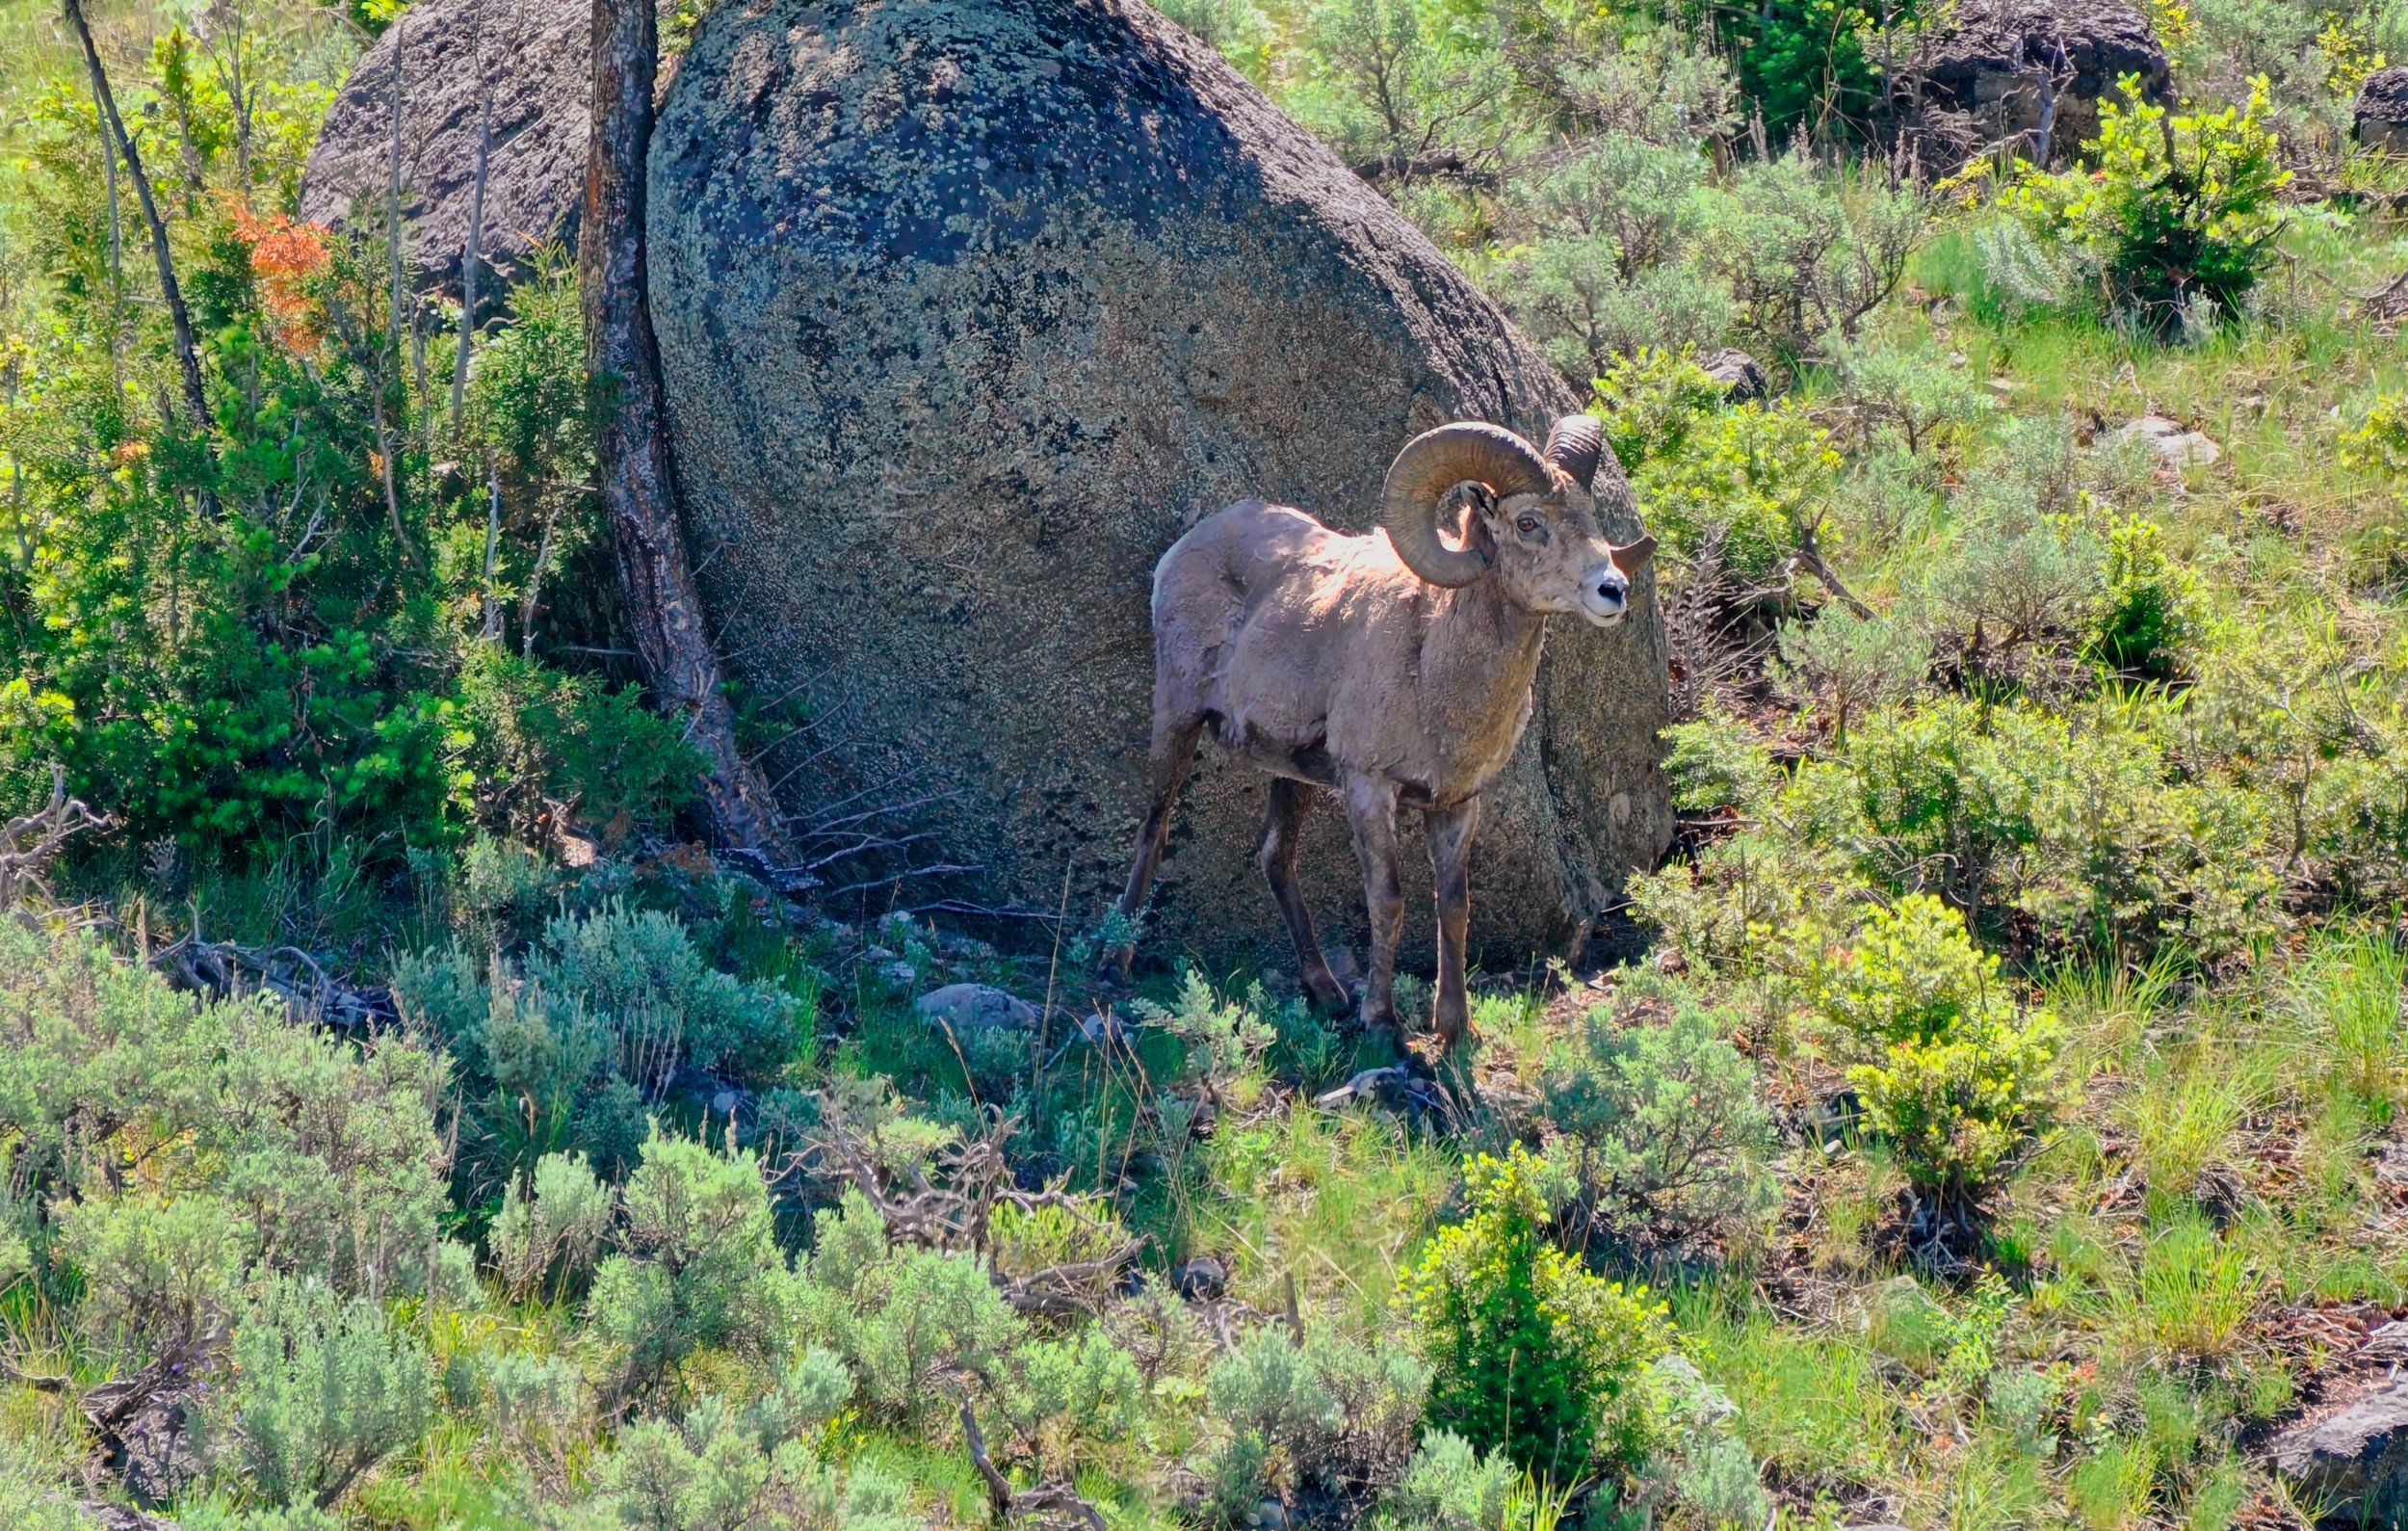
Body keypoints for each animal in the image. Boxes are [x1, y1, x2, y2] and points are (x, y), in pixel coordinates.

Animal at [1102, 416, 1656, 1057]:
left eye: (1590, 516)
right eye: (1527, 523)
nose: (1612, 591)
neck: (1434, 666)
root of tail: (1185, 549)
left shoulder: (1457, 804)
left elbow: (1454, 905)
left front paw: (1455, 1028)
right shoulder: (1370, 788)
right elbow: (1387, 899)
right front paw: (1382, 1023)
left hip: (1293, 772)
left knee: (1275, 856)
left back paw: (1326, 992)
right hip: (1177, 718)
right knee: (1154, 829)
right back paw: (1115, 963)